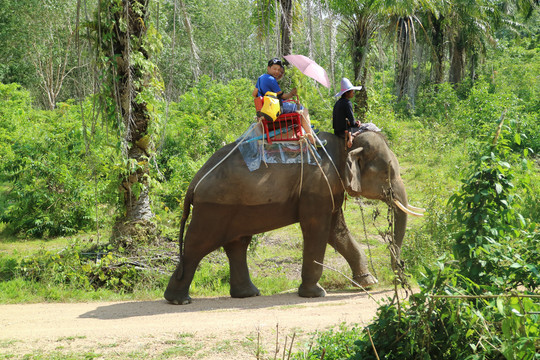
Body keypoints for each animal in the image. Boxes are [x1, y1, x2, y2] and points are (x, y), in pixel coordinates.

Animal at [165, 129, 422, 304]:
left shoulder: (329, 188)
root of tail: (194, 182)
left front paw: (368, 283)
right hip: (213, 208)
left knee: (237, 244)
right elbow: (317, 229)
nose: (401, 276)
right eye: (388, 172)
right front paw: (316, 294)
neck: (344, 144)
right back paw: (179, 300)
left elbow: (336, 232)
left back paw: (248, 294)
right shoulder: (317, 187)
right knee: (197, 245)